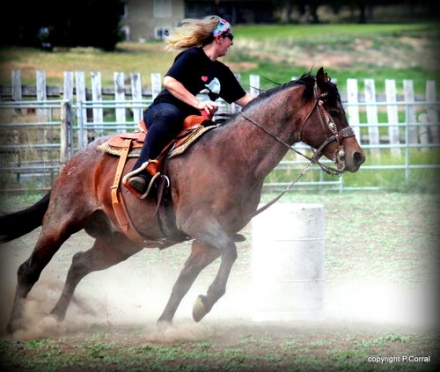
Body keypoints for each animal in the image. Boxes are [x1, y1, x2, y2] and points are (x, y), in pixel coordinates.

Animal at [0, 67, 364, 334]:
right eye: (333, 110)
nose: (357, 156)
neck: (232, 154)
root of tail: (76, 160)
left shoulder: (208, 238)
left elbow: (184, 281)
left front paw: (168, 321)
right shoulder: (201, 225)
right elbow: (228, 255)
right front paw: (203, 305)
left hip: (119, 242)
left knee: (78, 264)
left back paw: (55, 317)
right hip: (61, 220)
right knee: (29, 270)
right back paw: (18, 325)